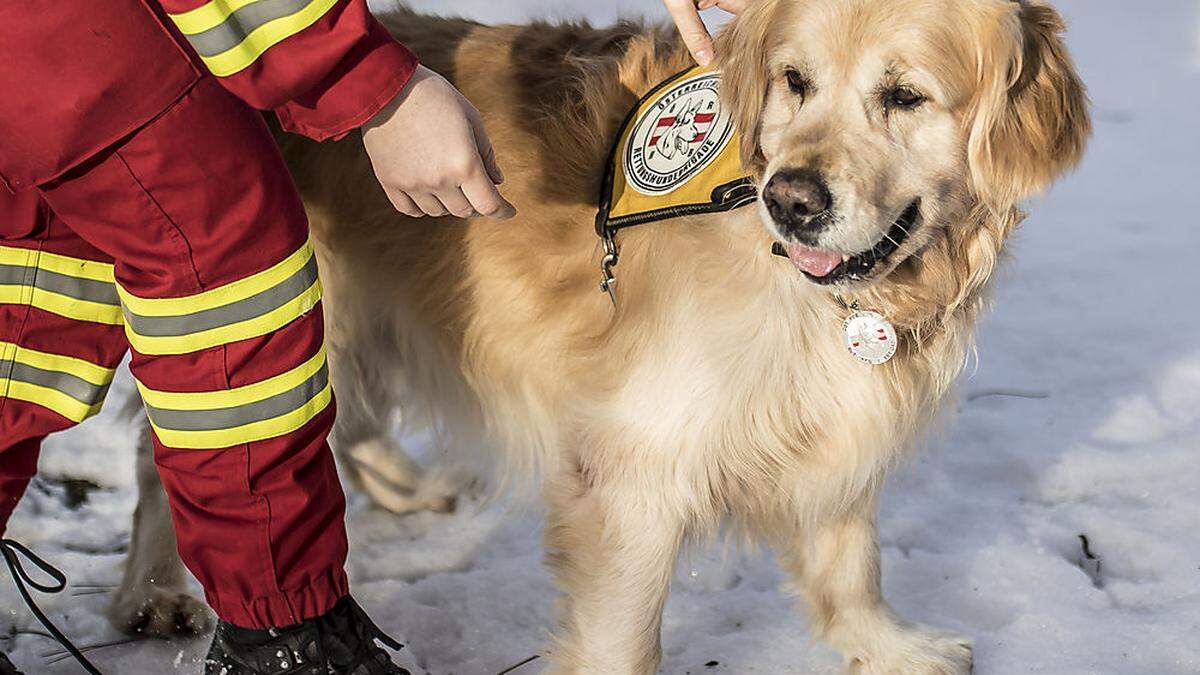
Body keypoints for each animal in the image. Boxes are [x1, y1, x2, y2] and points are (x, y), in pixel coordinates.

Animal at [110, 2, 1089, 667]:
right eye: (795, 81)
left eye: (905, 96)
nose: (793, 200)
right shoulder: (635, 470)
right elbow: (626, 637)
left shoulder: (834, 418)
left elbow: (852, 555)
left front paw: (885, 643)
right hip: (285, 305)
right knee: (188, 457)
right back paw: (152, 591)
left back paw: (404, 486)